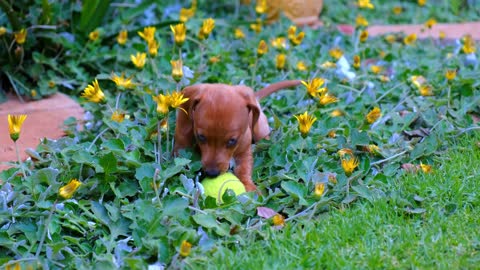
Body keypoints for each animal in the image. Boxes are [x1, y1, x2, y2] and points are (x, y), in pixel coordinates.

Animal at [172, 80, 300, 192]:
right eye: (201, 137)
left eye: (232, 141)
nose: (212, 173)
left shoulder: (244, 152)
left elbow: (243, 169)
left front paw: (249, 187)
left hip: (260, 130)